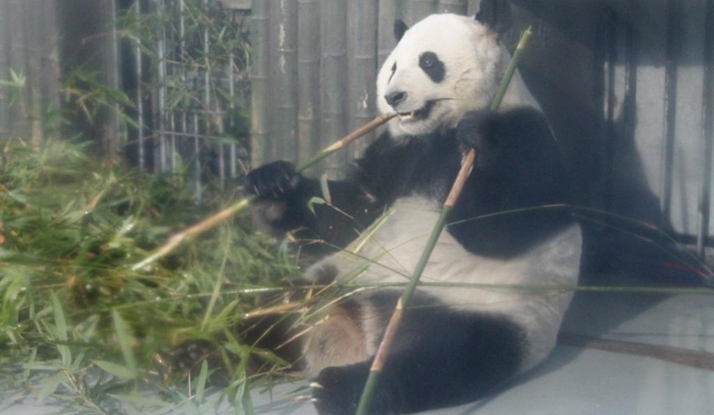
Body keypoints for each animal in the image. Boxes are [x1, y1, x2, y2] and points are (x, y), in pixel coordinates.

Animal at [245, 4, 580, 415]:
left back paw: (342, 388)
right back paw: (208, 346)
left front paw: (479, 136)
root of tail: (357, 332)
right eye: (392, 66)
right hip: (320, 283)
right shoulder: (397, 152)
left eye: (429, 62)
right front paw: (272, 184)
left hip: (484, 311)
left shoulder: (527, 136)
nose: (394, 96)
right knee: (260, 316)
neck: (438, 131)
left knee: (443, 358)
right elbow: (347, 214)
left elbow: (501, 225)